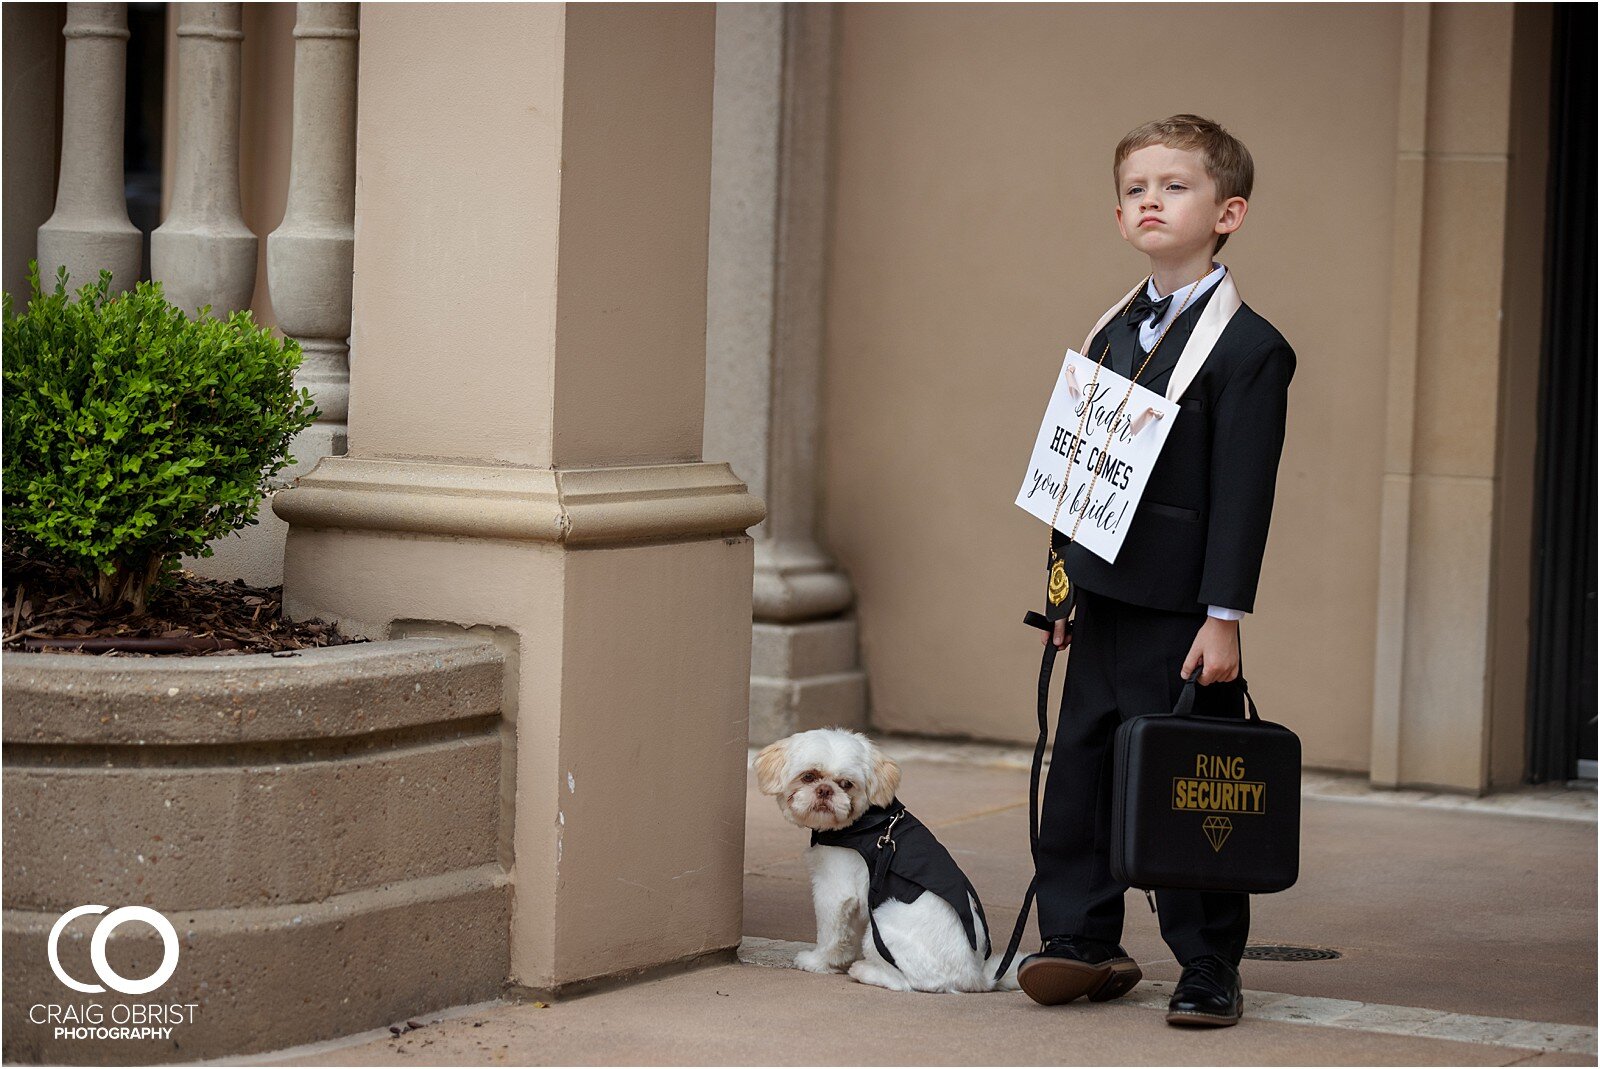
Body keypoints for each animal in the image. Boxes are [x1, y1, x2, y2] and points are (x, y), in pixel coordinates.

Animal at [752, 726, 1024, 992]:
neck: (868, 823)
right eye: (809, 776)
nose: (825, 790)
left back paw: (865, 971)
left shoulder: (834, 892)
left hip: (883, 923)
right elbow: (847, 935)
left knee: (908, 982)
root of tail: (976, 976)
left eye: (846, 784)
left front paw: (818, 962)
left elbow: (831, 933)